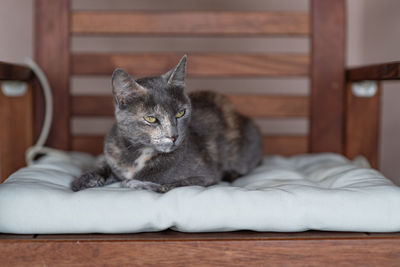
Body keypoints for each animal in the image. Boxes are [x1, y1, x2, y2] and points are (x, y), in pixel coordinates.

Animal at [71, 55, 262, 194]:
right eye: (151, 119)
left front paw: (134, 183)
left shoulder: (205, 176)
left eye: (181, 113)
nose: (173, 136)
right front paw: (82, 180)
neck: (139, 154)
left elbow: (168, 186)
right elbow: (105, 166)